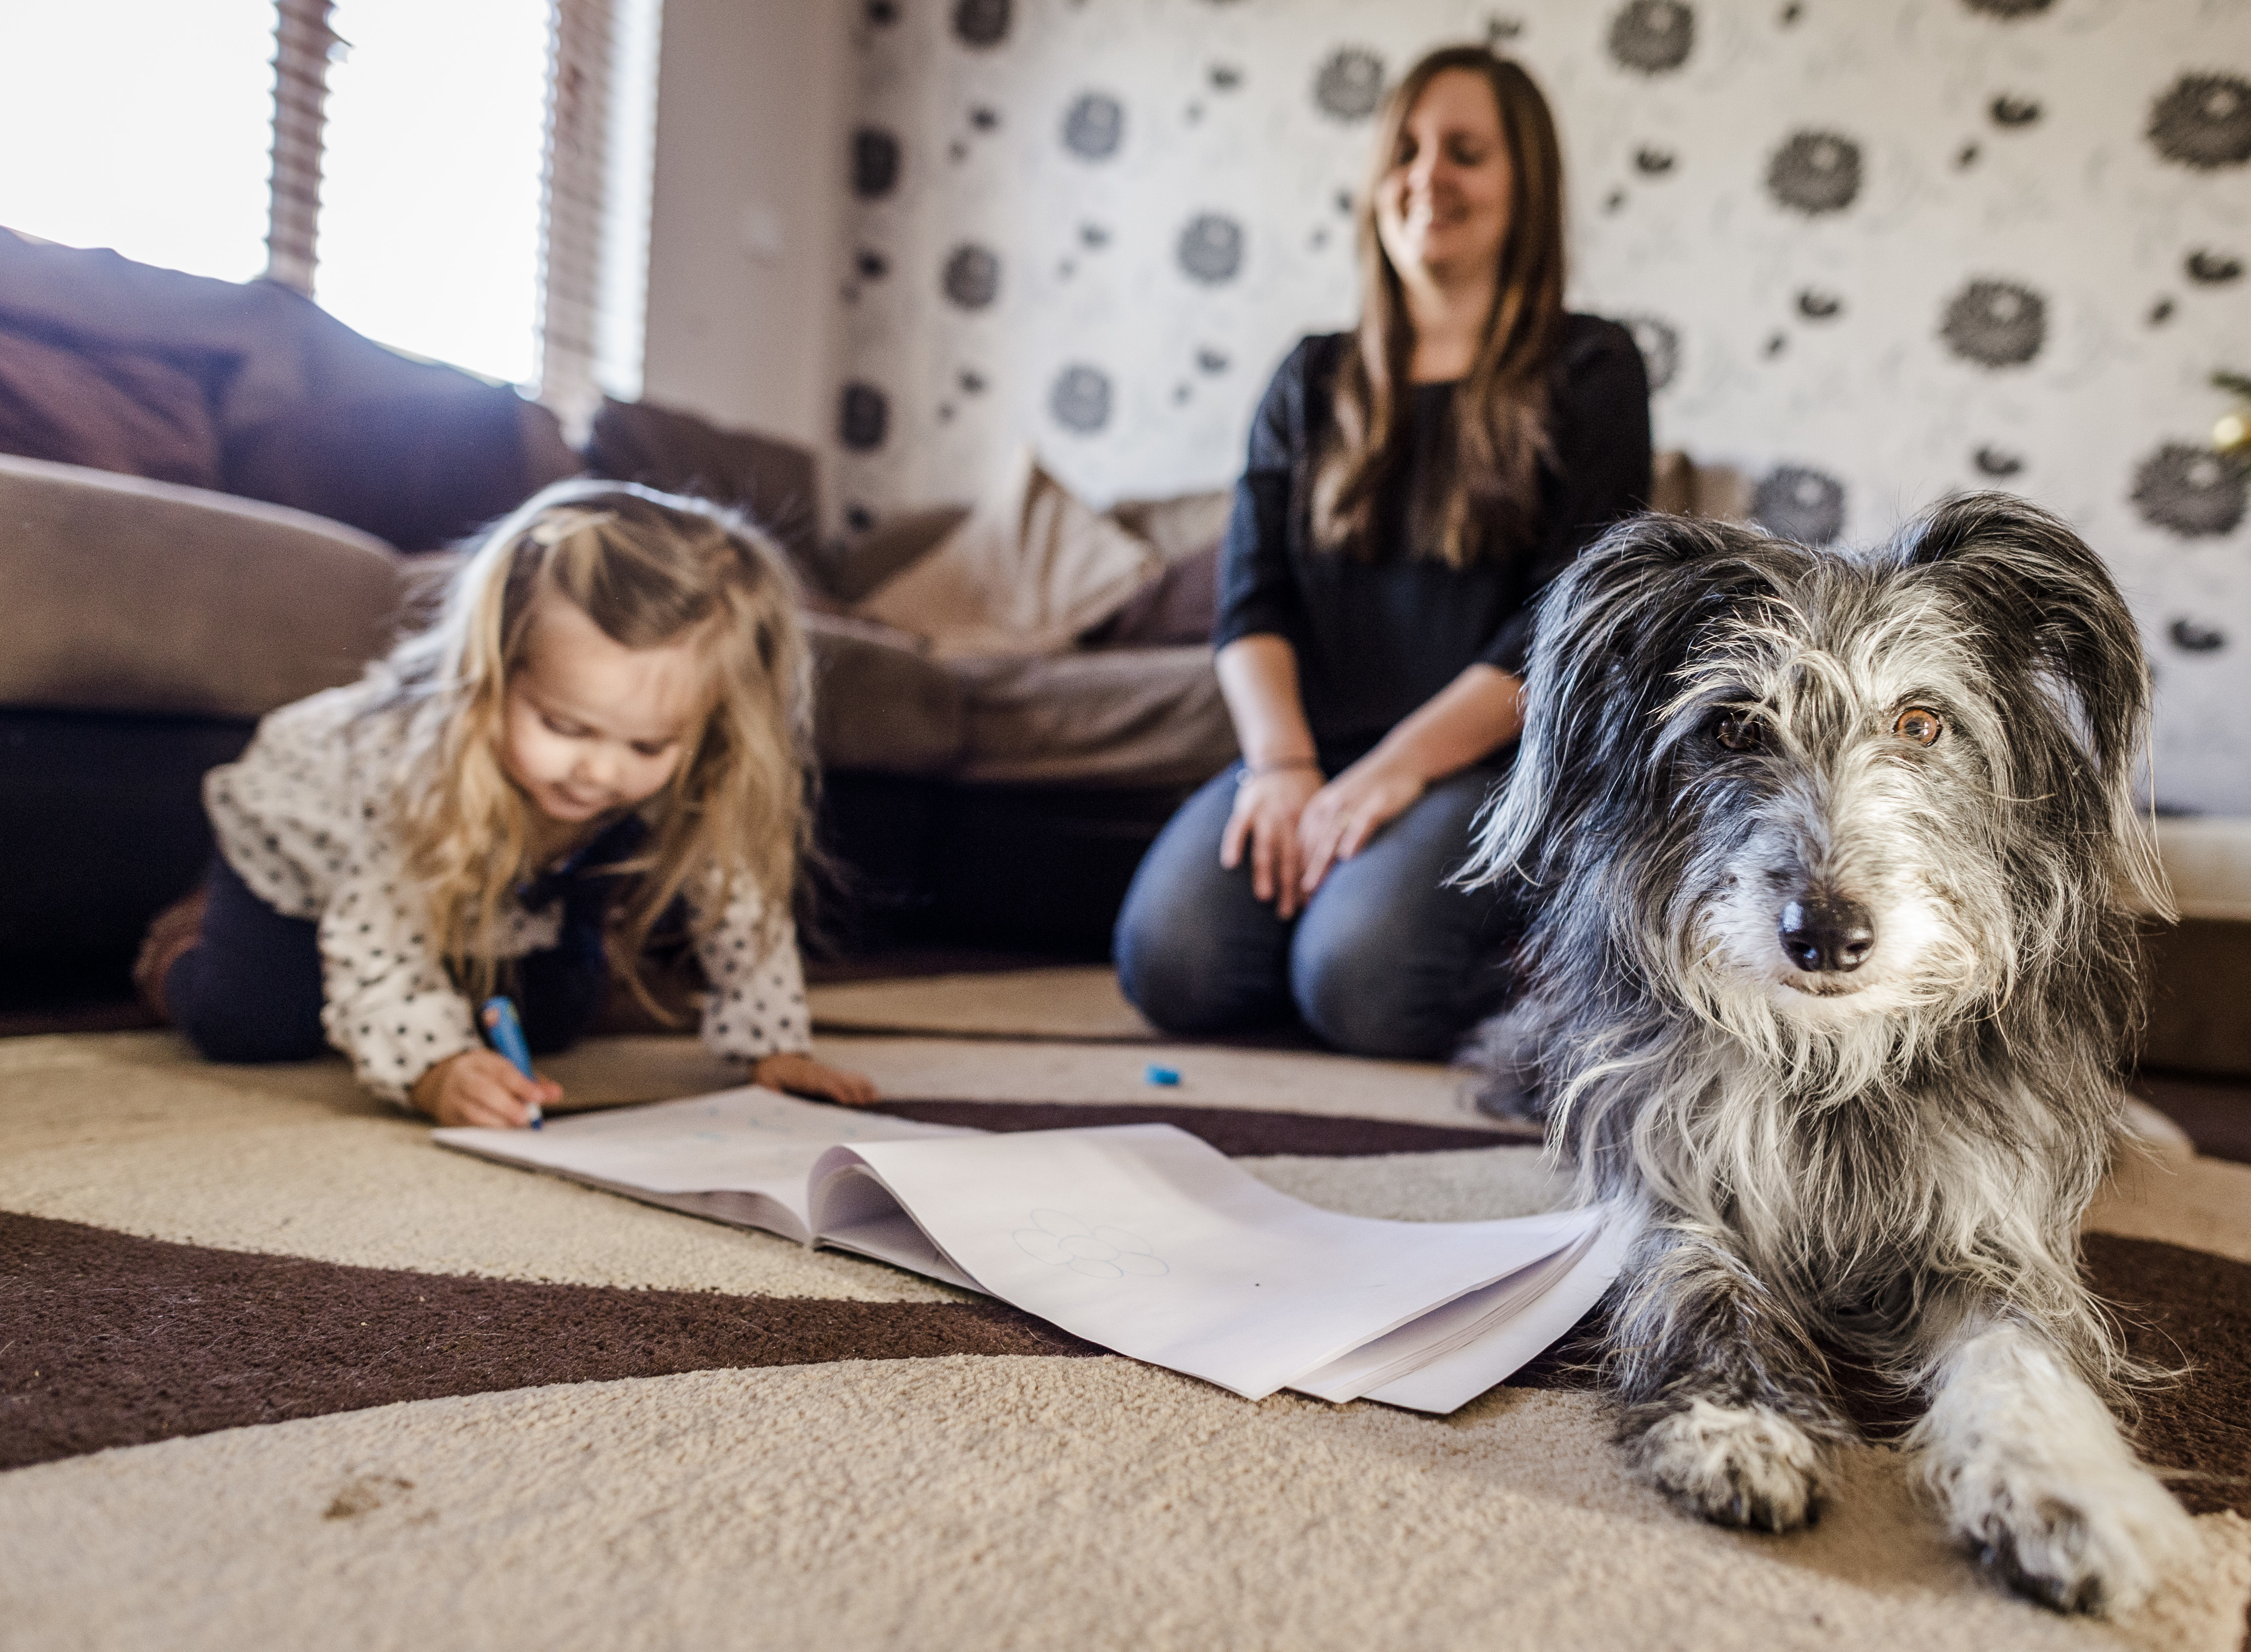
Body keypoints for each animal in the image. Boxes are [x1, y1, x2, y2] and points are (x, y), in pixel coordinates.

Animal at [1459, 488, 2197, 1620]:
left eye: (1920, 722)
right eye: (1730, 725)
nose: (1826, 935)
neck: (1832, 1059)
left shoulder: (1988, 1227)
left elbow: (2020, 1350)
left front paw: (2062, 1490)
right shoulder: (1674, 1182)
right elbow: (1697, 1282)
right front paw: (1737, 1422)